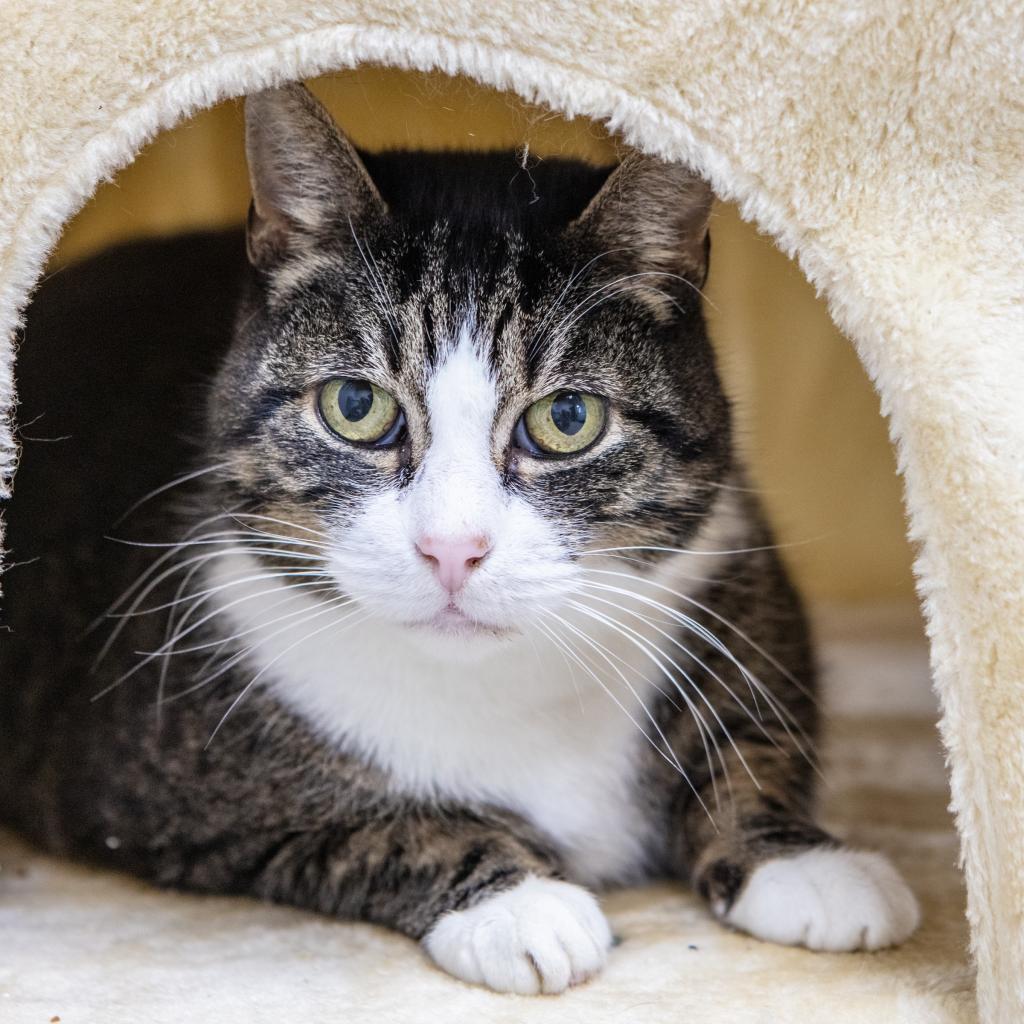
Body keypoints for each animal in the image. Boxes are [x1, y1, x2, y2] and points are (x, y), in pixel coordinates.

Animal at [0, 83, 921, 995]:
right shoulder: (143, 777)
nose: (454, 548)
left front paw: (806, 862)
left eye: (567, 418)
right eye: (355, 406)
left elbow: (751, 726)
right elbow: (368, 819)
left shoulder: (739, 572)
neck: (496, 686)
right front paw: (518, 903)